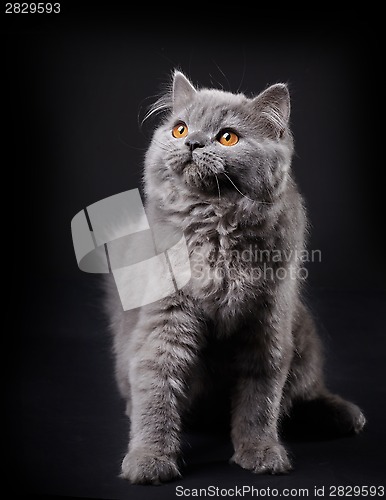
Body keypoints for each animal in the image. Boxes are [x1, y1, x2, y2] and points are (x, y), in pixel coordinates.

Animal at [105, 71, 364, 484]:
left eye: (227, 137)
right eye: (180, 129)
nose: (193, 142)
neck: (217, 230)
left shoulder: (267, 325)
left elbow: (261, 401)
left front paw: (260, 453)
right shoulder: (166, 321)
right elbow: (157, 388)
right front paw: (149, 460)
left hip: (303, 336)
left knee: (305, 391)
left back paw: (344, 415)